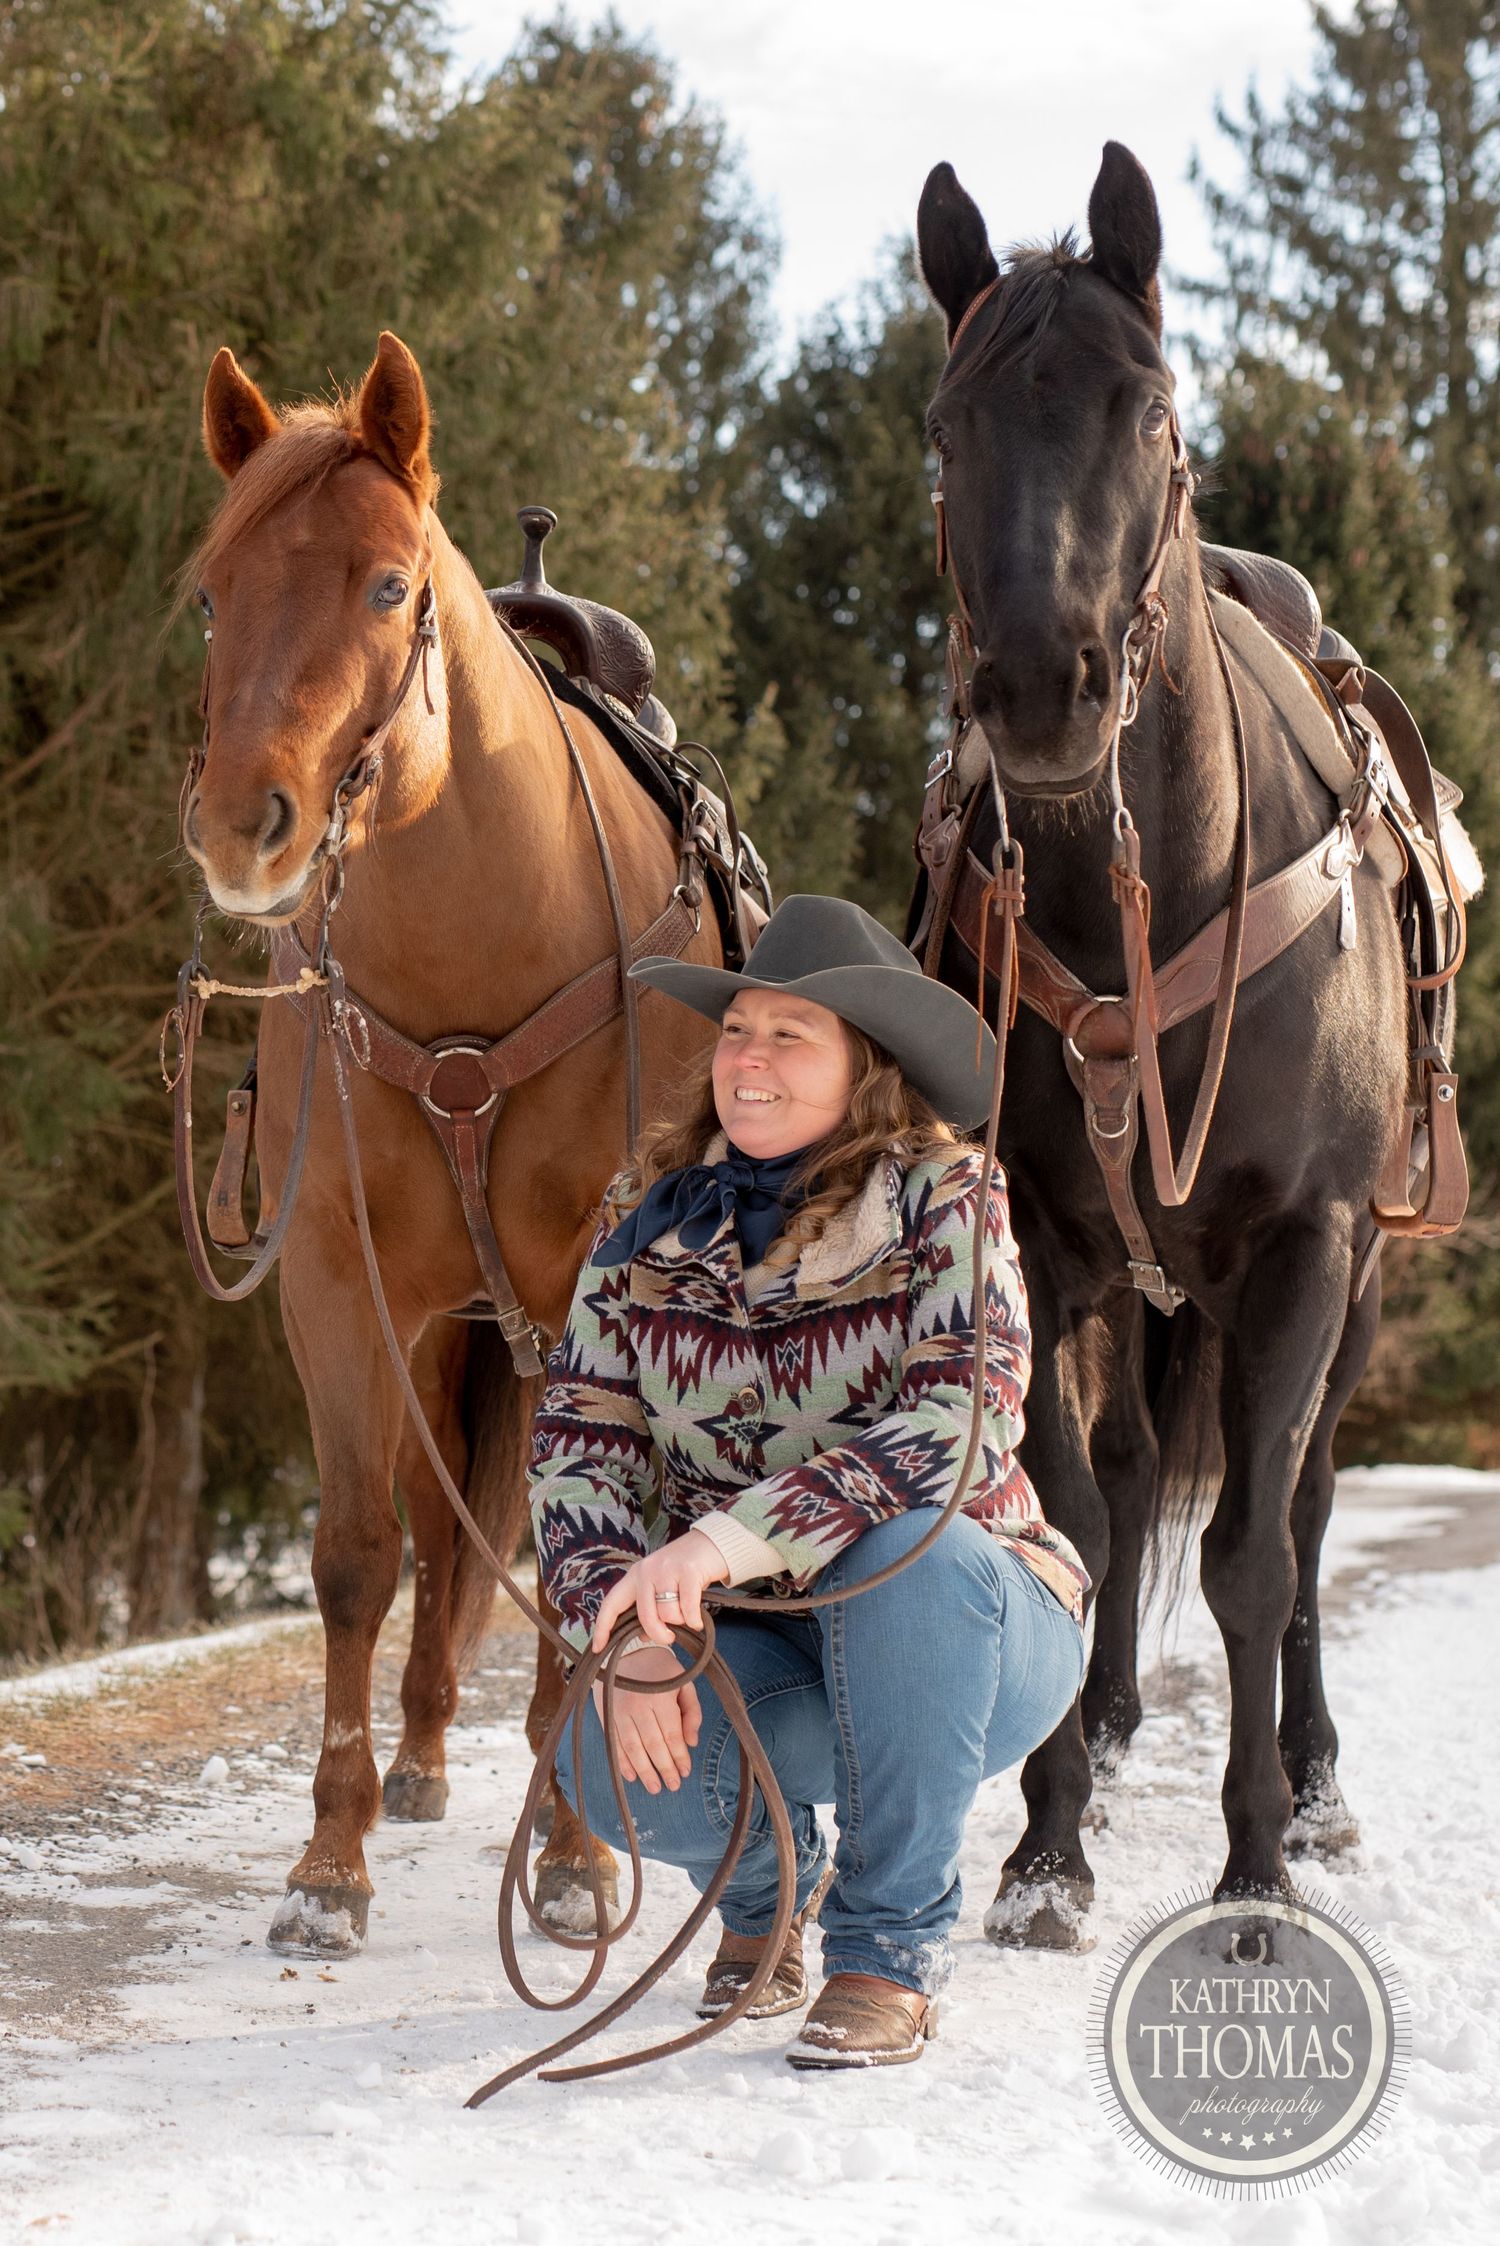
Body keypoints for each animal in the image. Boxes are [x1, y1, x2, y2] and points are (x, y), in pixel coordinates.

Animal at [178, 332, 725, 1953]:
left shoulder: (594, 1302)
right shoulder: (338, 1291)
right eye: (217, 592)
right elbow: (358, 1555)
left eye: (384, 584)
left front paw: (576, 1854)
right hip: (442, 1331)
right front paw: (329, 1860)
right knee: (432, 1526)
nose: (243, 826)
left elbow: (589, 1555)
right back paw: (422, 1756)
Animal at [911, 143, 1427, 1949]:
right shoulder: (1049, 1247)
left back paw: (1324, 1777)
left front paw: (1259, 1857)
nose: (1038, 688)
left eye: (1144, 409)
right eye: (948, 426)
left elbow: (1262, 1553)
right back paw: (1122, 1723)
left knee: (1310, 1496)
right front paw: (1047, 1844)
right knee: (1138, 1482)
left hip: (1346, 1285)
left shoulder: (1305, 1246)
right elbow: (1079, 1513)